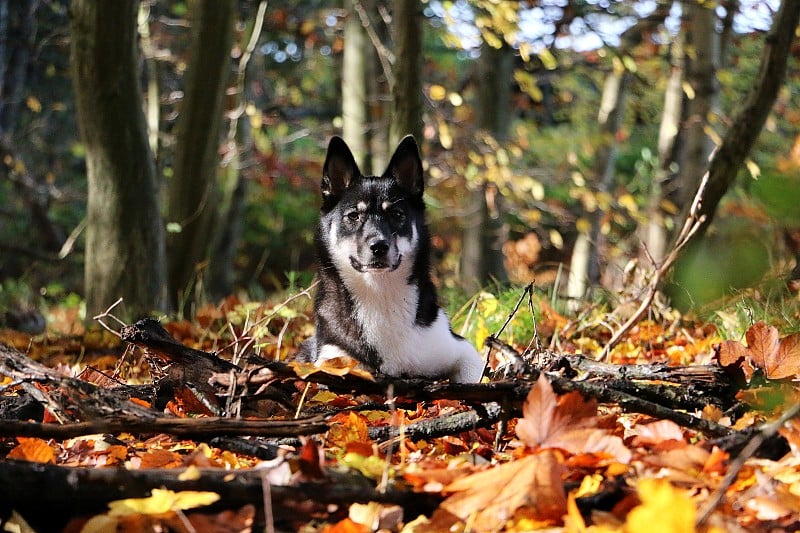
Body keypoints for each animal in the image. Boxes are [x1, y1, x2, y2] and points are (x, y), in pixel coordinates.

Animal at [300, 136, 484, 382]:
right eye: (353, 216)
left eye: (397, 214)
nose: (379, 246)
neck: (381, 294)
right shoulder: (331, 359)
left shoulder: (461, 349)